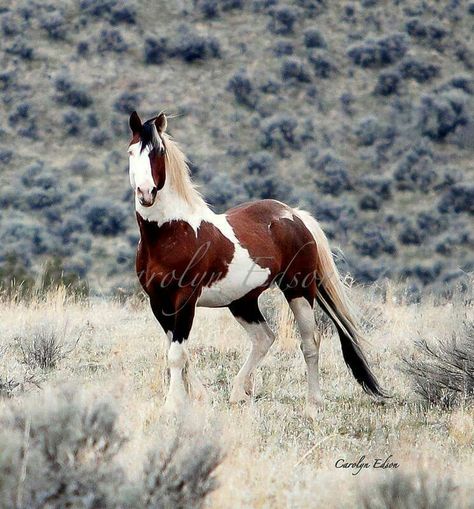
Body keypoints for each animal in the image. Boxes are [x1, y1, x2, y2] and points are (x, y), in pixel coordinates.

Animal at [129, 111, 386, 416]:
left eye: (158, 152)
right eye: (131, 151)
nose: (146, 193)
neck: (172, 232)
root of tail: (294, 215)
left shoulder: (186, 299)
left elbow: (177, 354)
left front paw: (172, 406)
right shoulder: (158, 301)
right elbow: (179, 352)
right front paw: (199, 397)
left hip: (298, 290)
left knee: (309, 343)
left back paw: (312, 404)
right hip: (243, 301)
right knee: (264, 337)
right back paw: (239, 393)